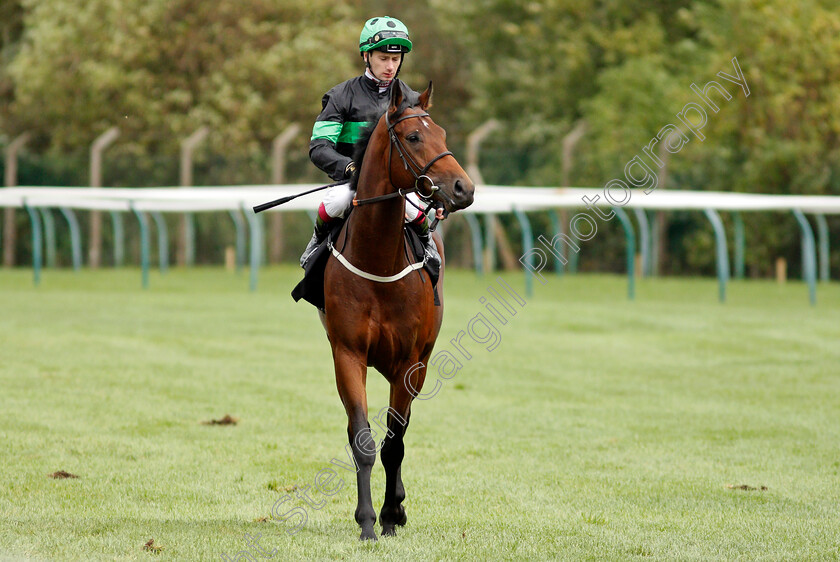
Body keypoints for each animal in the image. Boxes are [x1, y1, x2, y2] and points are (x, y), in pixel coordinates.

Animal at [324, 80, 472, 540]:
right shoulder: (348, 353)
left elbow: (395, 443)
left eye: (442, 132)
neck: (377, 262)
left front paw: (390, 514)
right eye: (413, 137)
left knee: (401, 431)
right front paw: (367, 521)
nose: (464, 188)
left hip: (419, 362)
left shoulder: (408, 361)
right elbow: (363, 440)